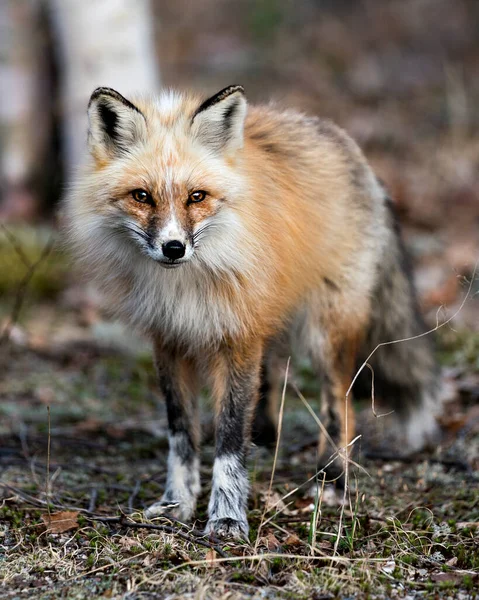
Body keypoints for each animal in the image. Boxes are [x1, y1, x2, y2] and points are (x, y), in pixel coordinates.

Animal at [65, 84, 440, 540]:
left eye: (196, 197)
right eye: (142, 196)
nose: (174, 248)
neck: (186, 285)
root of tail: (351, 149)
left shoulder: (238, 338)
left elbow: (228, 440)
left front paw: (227, 517)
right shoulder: (169, 340)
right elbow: (182, 435)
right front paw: (177, 503)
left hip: (326, 330)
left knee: (342, 406)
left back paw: (332, 480)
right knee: (272, 381)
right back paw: (266, 439)